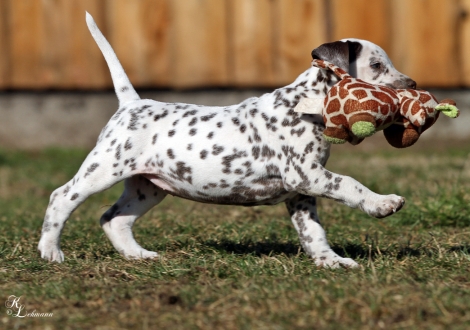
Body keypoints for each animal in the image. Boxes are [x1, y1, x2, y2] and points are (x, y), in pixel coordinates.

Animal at [39, 12, 414, 268]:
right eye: (376, 66)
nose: (411, 84)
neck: (307, 103)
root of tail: (132, 103)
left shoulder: (302, 192)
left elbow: (313, 233)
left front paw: (330, 261)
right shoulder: (306, 175)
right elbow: (351, 184)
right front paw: (382, 203)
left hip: (148, 187)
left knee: (113, 219)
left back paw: (138, 255)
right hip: (103, 169)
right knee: (62, 197)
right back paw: (50, 251)